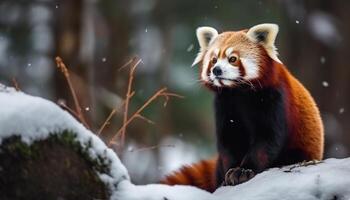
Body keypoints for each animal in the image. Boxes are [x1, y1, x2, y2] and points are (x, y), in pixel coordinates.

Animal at [160, 23, 324, 192]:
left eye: (232, 59)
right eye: (213, 60)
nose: (216, 70)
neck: (239, 92)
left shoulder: (275, 99)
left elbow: (267, 140)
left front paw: (244, 170)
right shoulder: (224, 105)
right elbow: (229, 140)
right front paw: (230, 172)